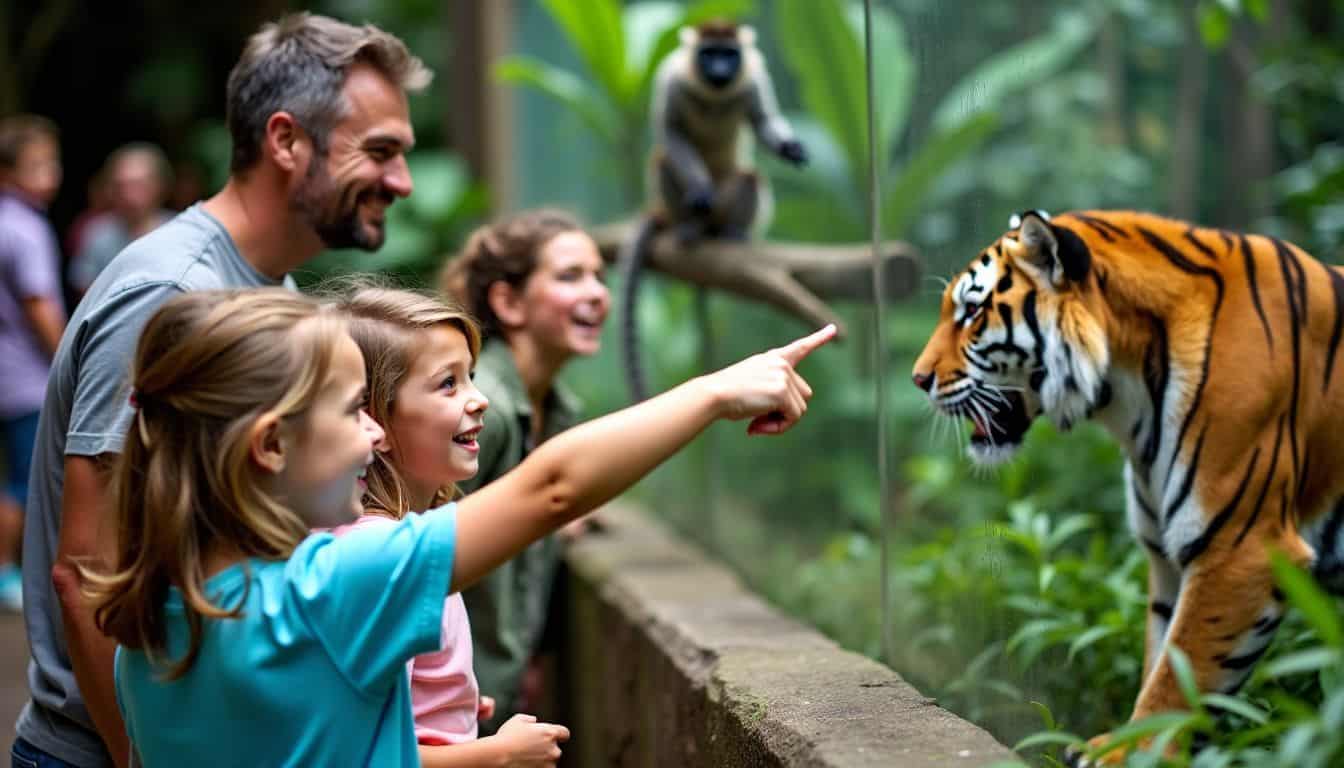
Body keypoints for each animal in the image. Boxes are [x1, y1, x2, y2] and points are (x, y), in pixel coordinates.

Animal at [618, 21, 806, 400]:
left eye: (728, 55)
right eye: (709, 54)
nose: (719, 69)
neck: (714, 95)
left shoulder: (752, 79)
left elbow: (762, 121)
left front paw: (788, 147)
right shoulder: (672, 81)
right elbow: (672, 131)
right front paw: (700, 188)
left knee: (749, 177)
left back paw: (732, 232)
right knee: (663, 161)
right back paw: (691, 227)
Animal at [913, 207, 1344, 763]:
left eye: (970, 312)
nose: (918, 379)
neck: (1131, 396)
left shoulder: (1242, 547)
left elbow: (1182, 671)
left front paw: (1131, 752)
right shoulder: (1169, 552)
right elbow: (1163, 652)